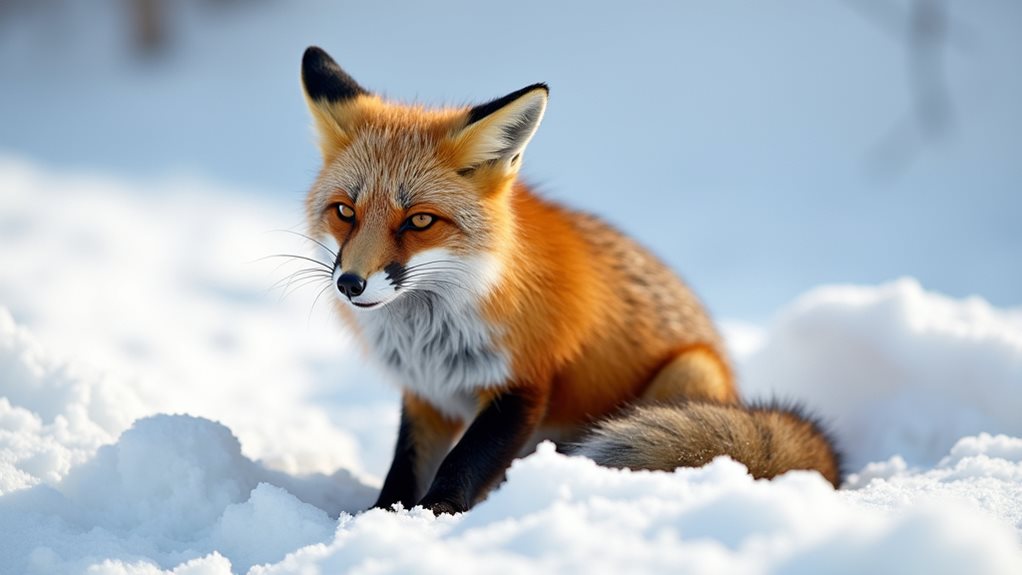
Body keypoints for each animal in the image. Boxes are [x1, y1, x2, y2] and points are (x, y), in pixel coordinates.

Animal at [298, 46, 840, 515]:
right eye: (345, 212)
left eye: (419, 221)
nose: (350, 283)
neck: (429, 335)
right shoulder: (427, 397)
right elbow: (405, 471)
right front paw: (379, 519)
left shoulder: (525, 381)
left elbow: (461, 465)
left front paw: (436, 519)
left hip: (690, 372)